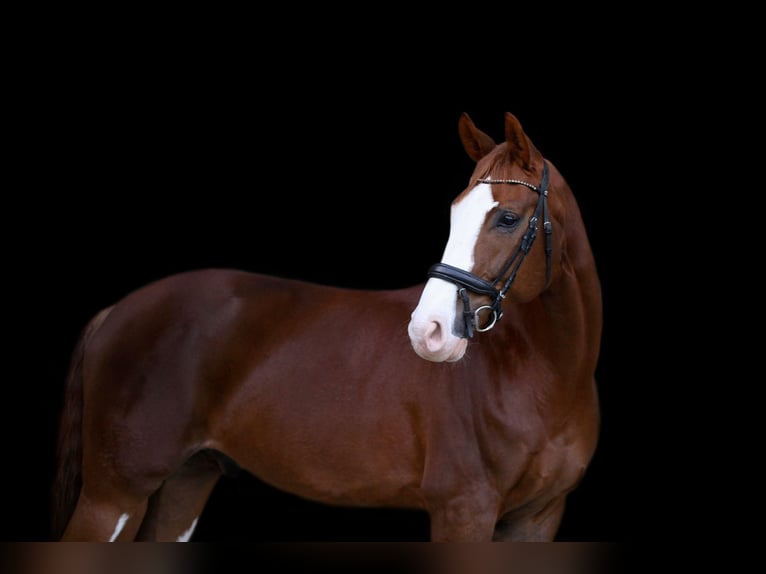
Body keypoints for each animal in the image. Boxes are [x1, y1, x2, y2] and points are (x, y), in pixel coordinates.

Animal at [51, 111, 602, 542]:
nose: (428, 330)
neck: (545, 376)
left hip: (186, 480)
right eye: (453, 215)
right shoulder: (463, 510)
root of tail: (116, 311)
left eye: (507, 218)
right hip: (114, 496)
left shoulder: (539, 517)